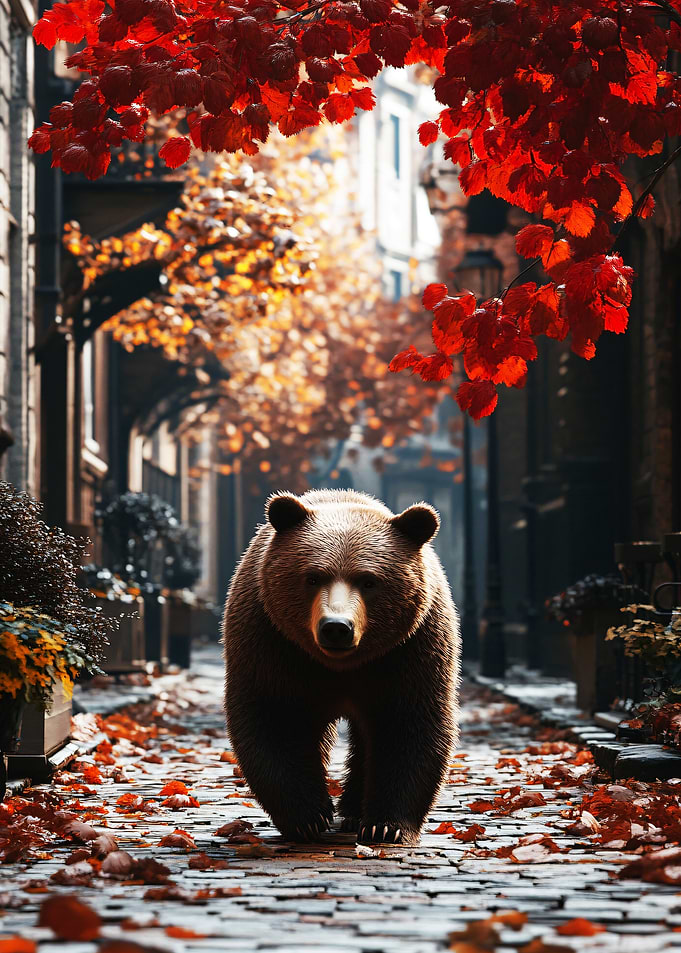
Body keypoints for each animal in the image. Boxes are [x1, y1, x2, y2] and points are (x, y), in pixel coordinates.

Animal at [223, 488, 460, 846]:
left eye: (369, 581)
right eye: (312, 576)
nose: (336, 627)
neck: (342, 666)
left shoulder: (408, 652)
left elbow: (408, 724)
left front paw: (385, 826)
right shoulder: (273, 645)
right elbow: (276, 718)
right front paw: (308, 818)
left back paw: (353, 813)